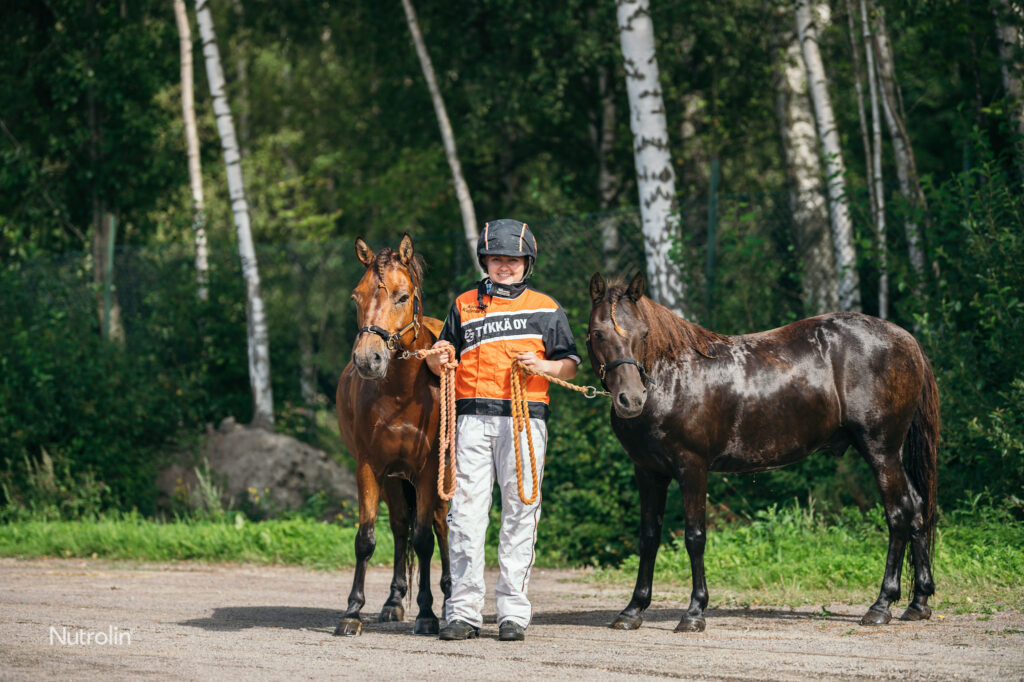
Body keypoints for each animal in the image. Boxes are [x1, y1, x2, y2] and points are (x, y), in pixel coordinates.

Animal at [333, 235, 450, 638]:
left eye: (402, 296)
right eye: (356, 296)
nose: (368, 360)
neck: (400, 393)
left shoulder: (429, 471)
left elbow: (425, 539)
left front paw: (428, 614)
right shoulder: (370, 467)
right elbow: (366, 539)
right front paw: (352, 611)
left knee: (441, 526)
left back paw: (449, 596)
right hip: (394, 480)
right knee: (400, 526)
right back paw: (394, 601)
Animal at [589, 270, 937, 630]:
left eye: (643, 333)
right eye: (597, 333)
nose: (631, 400)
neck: (672, 378)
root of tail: (907, 340)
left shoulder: (692, 468)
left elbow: (695, 536)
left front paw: (695, 611)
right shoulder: (648, 472)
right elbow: (649, 537)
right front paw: (633, 610)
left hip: (881, 452)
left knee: (898, 515)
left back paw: (881, 605)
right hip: (893, 456)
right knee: (917, 509)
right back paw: (918, 602)